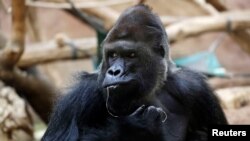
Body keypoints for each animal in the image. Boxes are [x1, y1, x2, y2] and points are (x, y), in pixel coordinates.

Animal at [42, 4, 227, 141]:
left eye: (130, 55)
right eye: (113, 54)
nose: (114, 72)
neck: (152, 89)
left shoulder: (195, 88)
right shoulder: (81, 94)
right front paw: (133, 127)